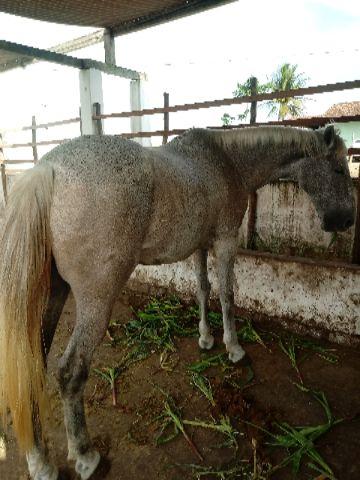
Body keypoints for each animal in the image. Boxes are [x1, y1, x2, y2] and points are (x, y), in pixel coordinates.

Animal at [0, 125, 354, 478]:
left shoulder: (200, 244)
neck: (228, 162)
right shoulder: (225, 242)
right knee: (70, 372)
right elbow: (227, 295)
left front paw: (206, 338)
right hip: (95, 301)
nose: (347, 220)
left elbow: (203, 288)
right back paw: (85, 456)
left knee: (32, 366)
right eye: (339, 169)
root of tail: (48, 170)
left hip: (52, 295)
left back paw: (40, 461)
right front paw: (234, 347)